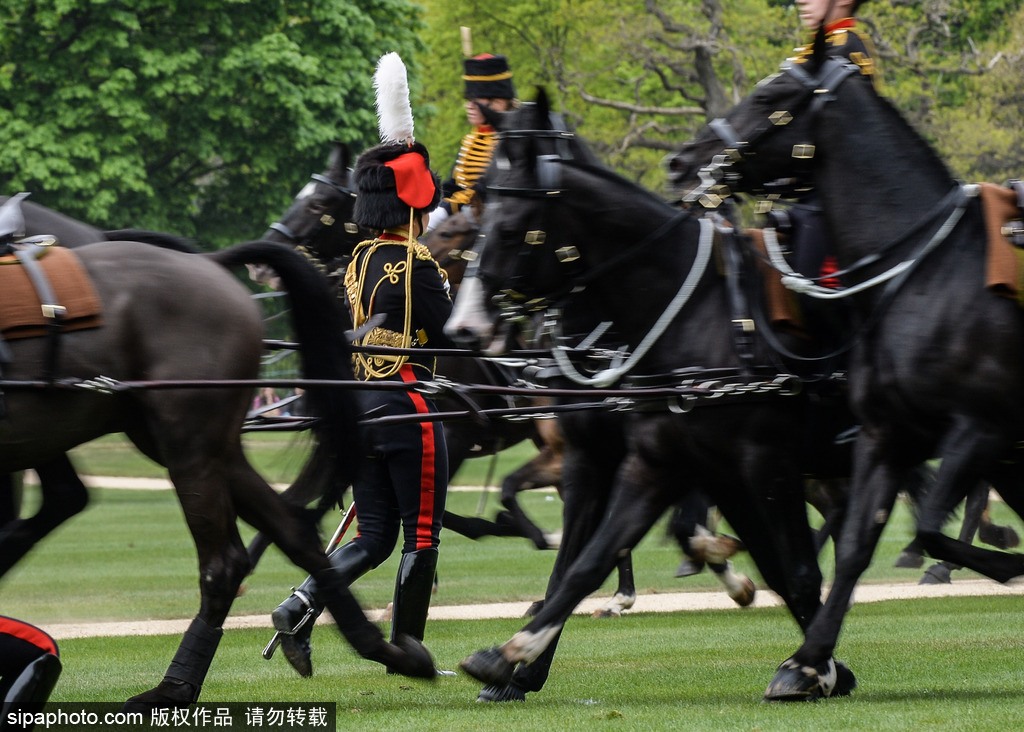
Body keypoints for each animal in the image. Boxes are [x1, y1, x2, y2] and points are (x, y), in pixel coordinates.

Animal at [448, 93, 856, 704]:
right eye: (477, 211)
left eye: (511, 223)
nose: (467, 326)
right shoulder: (617, 462)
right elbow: (580, 559)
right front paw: (518, 665)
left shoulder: (741, 463)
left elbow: (777, 561)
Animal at [667, 38, 1024, 700]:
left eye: (770, 95)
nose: (681, 163)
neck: (921, 273)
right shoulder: (889, 437)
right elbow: (858, 545)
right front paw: (806, 662)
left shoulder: (978, 427)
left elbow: (925, 526)